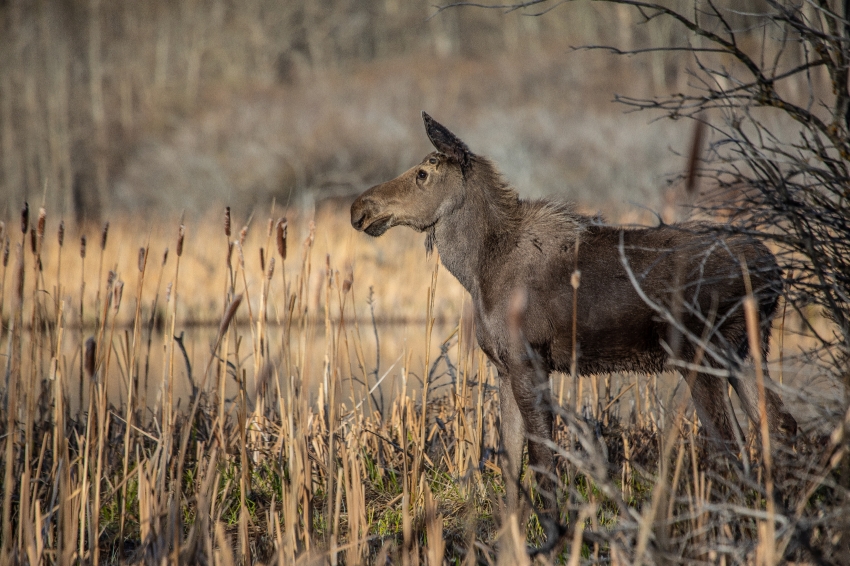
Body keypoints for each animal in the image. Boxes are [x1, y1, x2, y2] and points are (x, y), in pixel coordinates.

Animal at [346, 111, 796, 540]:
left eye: (423, 173)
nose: (359, 208)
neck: (477, 270)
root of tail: (773, 273)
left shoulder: (530, 362)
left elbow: (543, 460)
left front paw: (553, 532)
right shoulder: (504, 367)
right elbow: (511, 462)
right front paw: (511, 538)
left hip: (702, 356)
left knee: (731, 446)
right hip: (745, 354)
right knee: (779, 424)